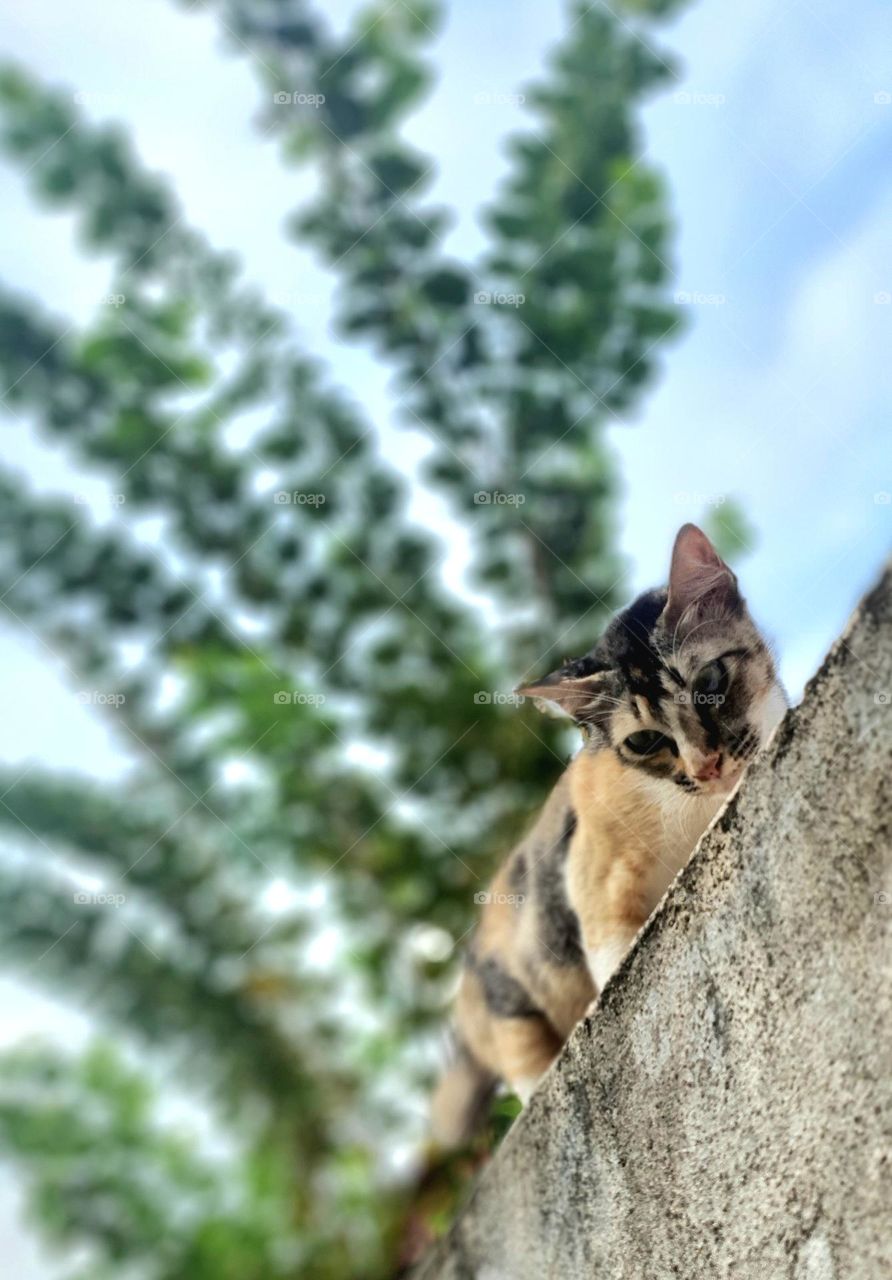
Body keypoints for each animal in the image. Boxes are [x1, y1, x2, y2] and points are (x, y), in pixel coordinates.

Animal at [432, 524, 788, 1146]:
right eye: (645, 741)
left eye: (711, 682)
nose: (706, 766)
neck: (693, 816)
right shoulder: (592, 882)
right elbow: (612, 949)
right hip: (512, 1010)